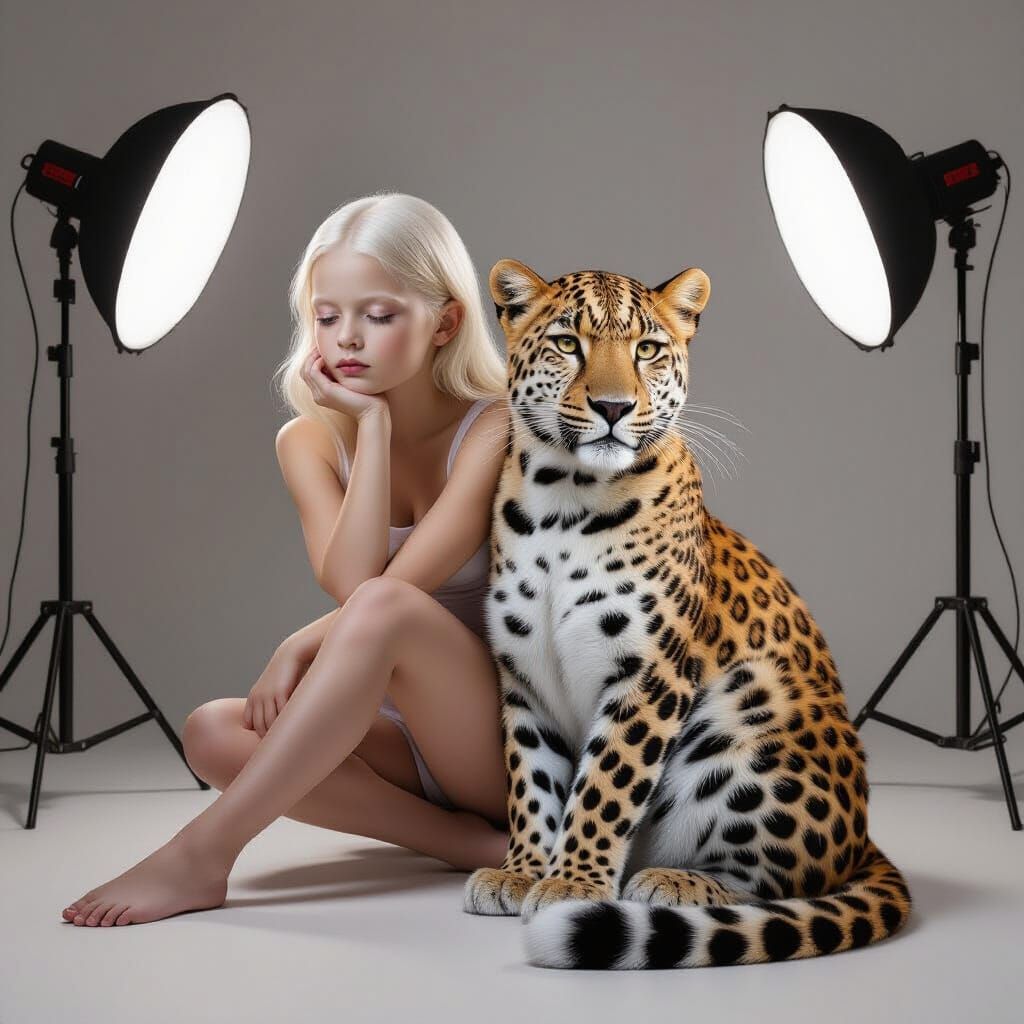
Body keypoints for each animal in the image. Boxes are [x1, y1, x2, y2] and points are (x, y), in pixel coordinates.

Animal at [462, 257, 912, 970]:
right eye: (568, 343)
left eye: (646, 350)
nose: (613, 407)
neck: (560, 502)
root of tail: (865, 840)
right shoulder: (522, 677)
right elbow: (531, 779)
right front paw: (523, 869)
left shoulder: (648, 673)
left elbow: (605, 785)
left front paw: (571, 884)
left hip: (744, 732)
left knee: (784, 882)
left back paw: (673, 881)